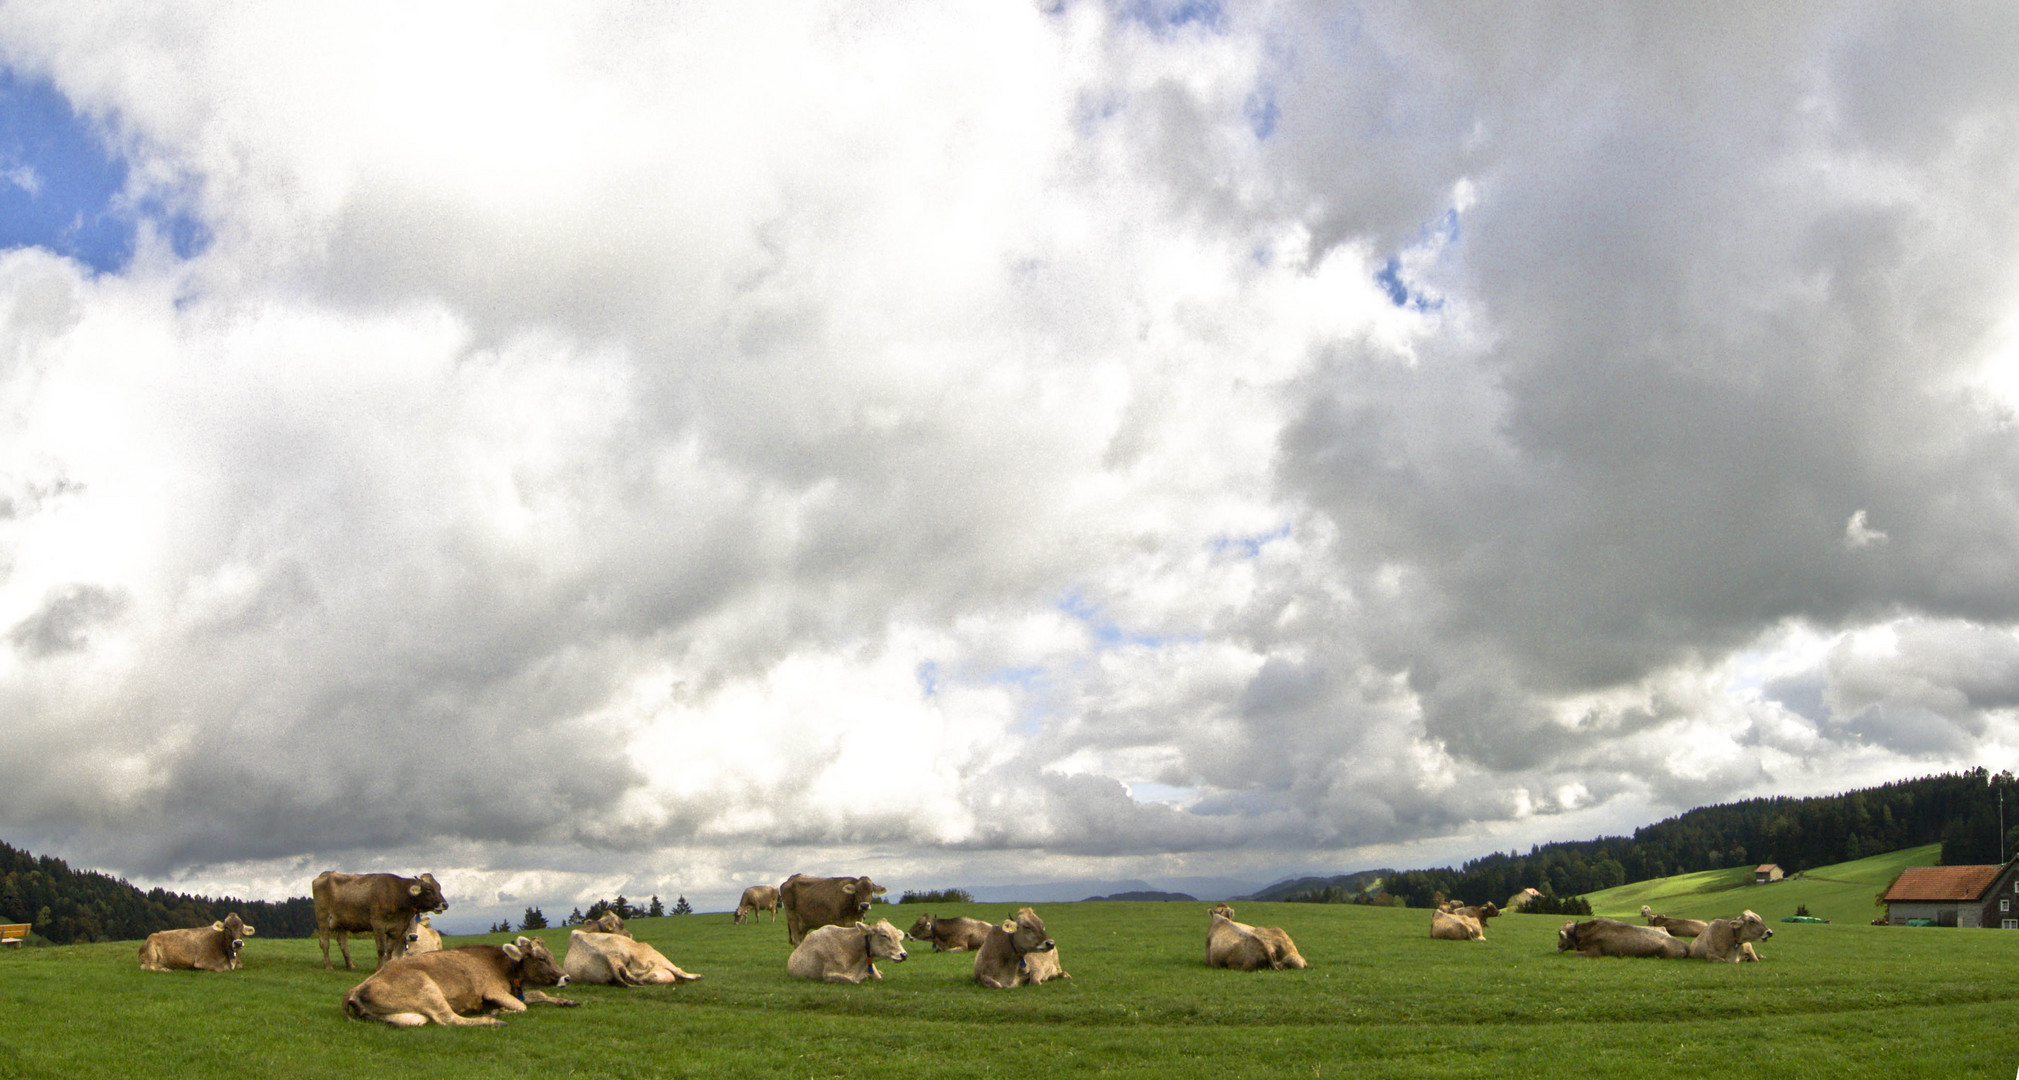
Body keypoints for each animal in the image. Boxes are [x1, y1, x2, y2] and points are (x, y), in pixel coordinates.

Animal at [310, 872, 450, 973]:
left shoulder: (395, 929)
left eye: (439, 887)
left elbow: (389, 950)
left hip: (343, 922)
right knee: (324, 942)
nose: (445, 904)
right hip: (322, 917)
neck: (397, 894)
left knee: (343, 943)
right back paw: (328, 966)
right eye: (428, 889)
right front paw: (378, 969)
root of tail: (325, 874)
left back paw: (350, 966)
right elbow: (381, 949)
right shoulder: (378, 924)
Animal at [345, 936, 581, 1029]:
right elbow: (522, 1007)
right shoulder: (493, 990)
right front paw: (502, 1011)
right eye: (541, 959)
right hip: (427, 987)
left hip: (410, 1017)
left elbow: (538, 995)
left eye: (551, 955)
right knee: (448, 1019)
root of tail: (355, 989)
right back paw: (493, 1019)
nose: (567, 977)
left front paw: (566, 1001)